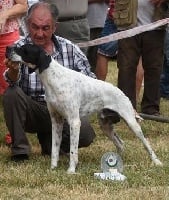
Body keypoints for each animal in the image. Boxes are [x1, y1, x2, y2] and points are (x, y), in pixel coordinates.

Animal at [6, 43, 162, 173]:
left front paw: (71, 170)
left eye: (24, 49)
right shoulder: (56, 121)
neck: (53, 78)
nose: (7, 48)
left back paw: (156, 162)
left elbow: (73, 151)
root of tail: (122, 92)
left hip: (131, 123)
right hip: (106, 127)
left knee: (146, 144)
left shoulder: (74, 122)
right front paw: (53, 168)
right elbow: (55, 149)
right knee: (120, 143)